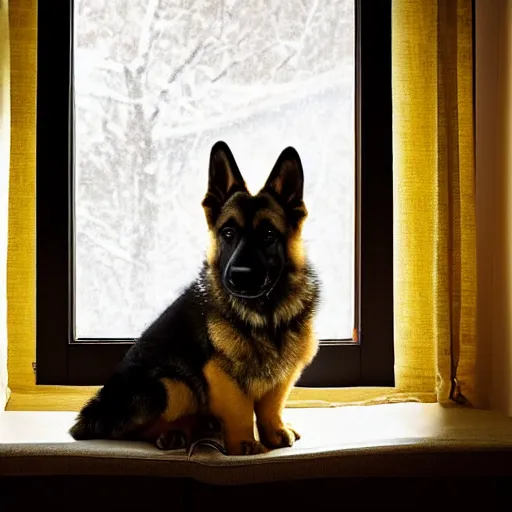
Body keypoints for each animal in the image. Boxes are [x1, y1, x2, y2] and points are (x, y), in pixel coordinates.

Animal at [69, 141, 320, 456]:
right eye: (228, 233)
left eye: (268, 235)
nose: (239, 276)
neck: (264, 314)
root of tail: (94, 411)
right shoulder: (219, 373)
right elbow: (240, 408)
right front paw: (244, 443)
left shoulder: (285, 372)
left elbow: (271, 405)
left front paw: (274, 433)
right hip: (174, 384)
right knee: (133, 429)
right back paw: (173, 433)